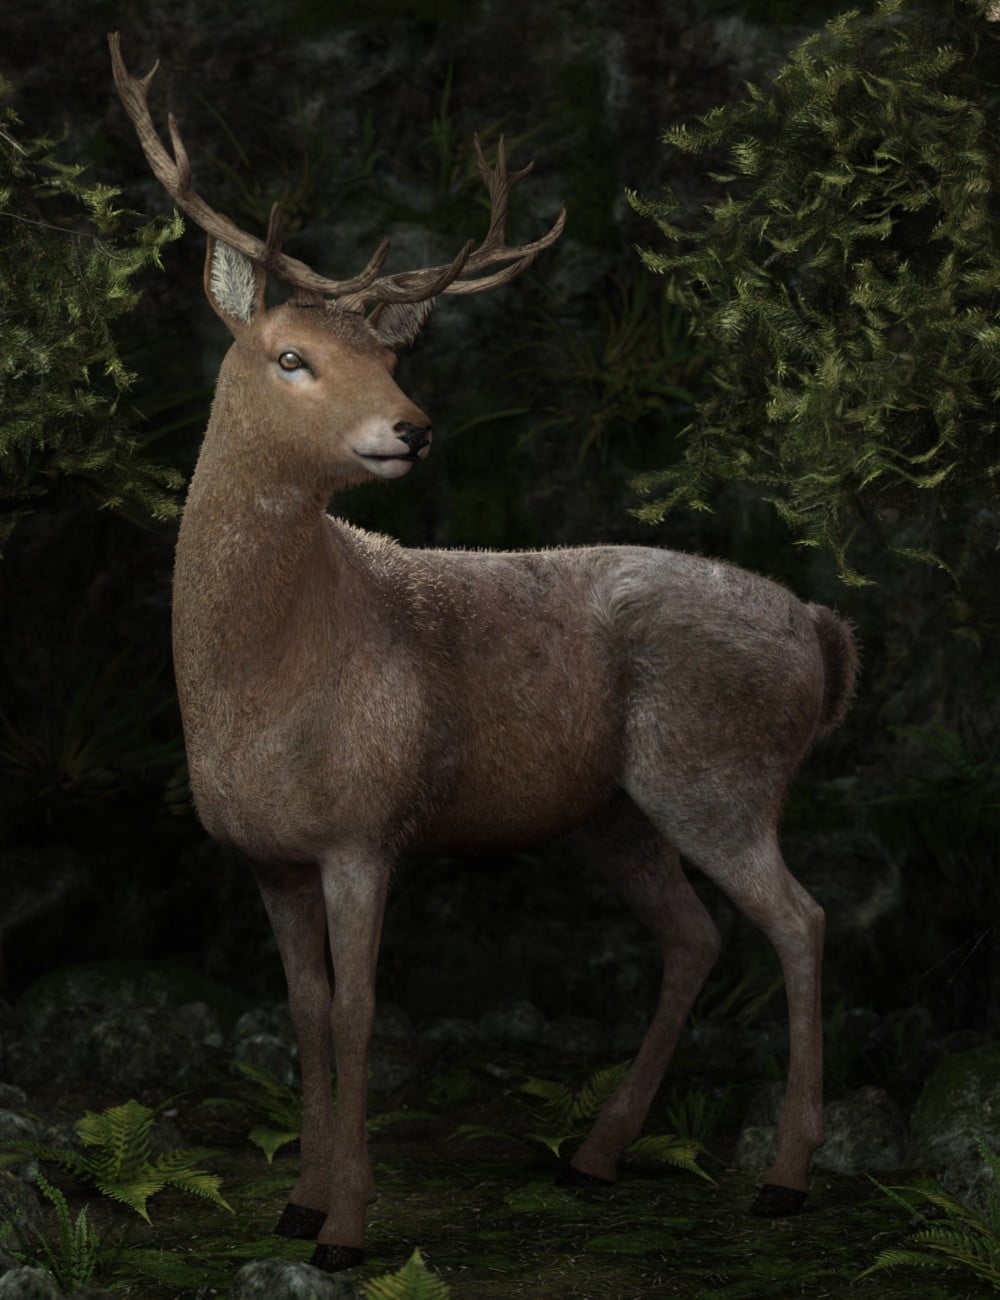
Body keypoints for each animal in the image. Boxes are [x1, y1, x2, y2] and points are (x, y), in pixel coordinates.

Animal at [110, 33, 857, 1275]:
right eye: (290, 356)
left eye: (389, 351)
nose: (411, 428)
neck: (263, 685)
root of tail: (821, 629)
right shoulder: (267, 852)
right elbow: (303, 1008)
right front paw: (298, 1202)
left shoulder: (368, 821)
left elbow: (361, 1009)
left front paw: (347, 1227)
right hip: (612, 811)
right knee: (696, 935)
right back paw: (595, 1155)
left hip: (718, 769)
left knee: (798, 920)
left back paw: (785, 1181)